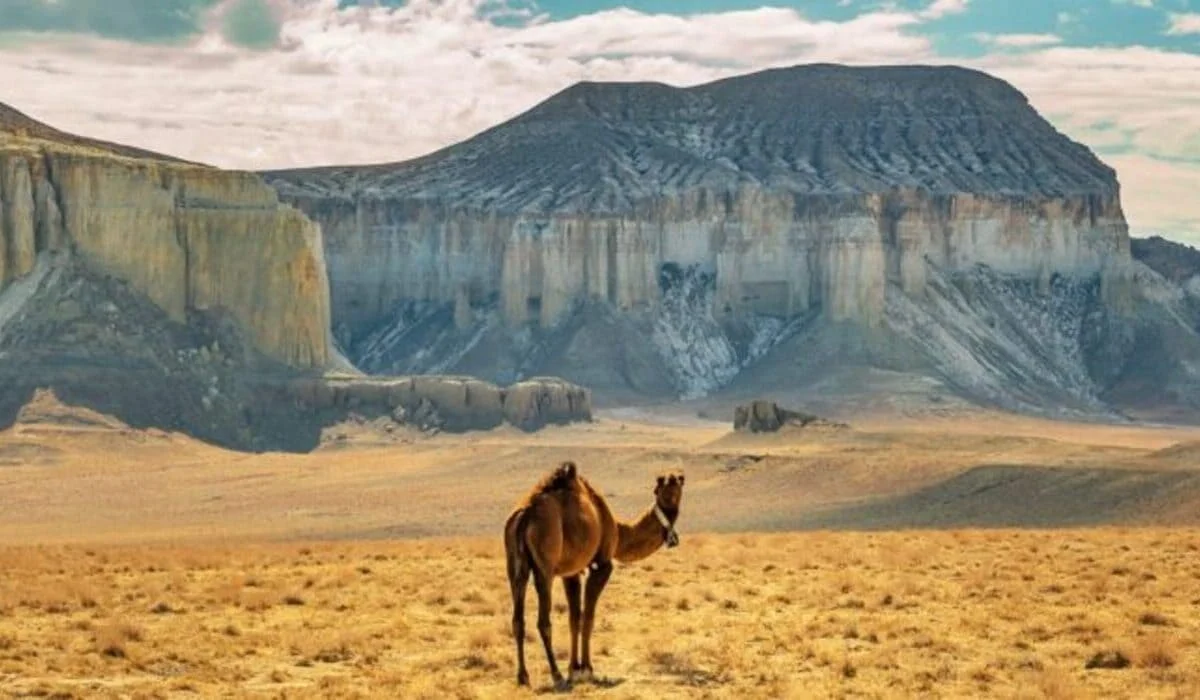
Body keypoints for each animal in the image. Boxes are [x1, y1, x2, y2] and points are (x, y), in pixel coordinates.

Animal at [499, 461, 686, 691]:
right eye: (661, 485)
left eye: (677, 483)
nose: (674, 477)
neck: (617, 531)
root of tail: (525, 515)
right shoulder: (601, 565)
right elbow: (588, 616)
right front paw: (587, 668)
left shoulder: (571, 572)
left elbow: (574, 618)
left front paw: (574, 668)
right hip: (544, 567)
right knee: (543, 621)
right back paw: (556, 675)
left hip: (515, 566)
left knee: (517, 619)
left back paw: (523, 676)